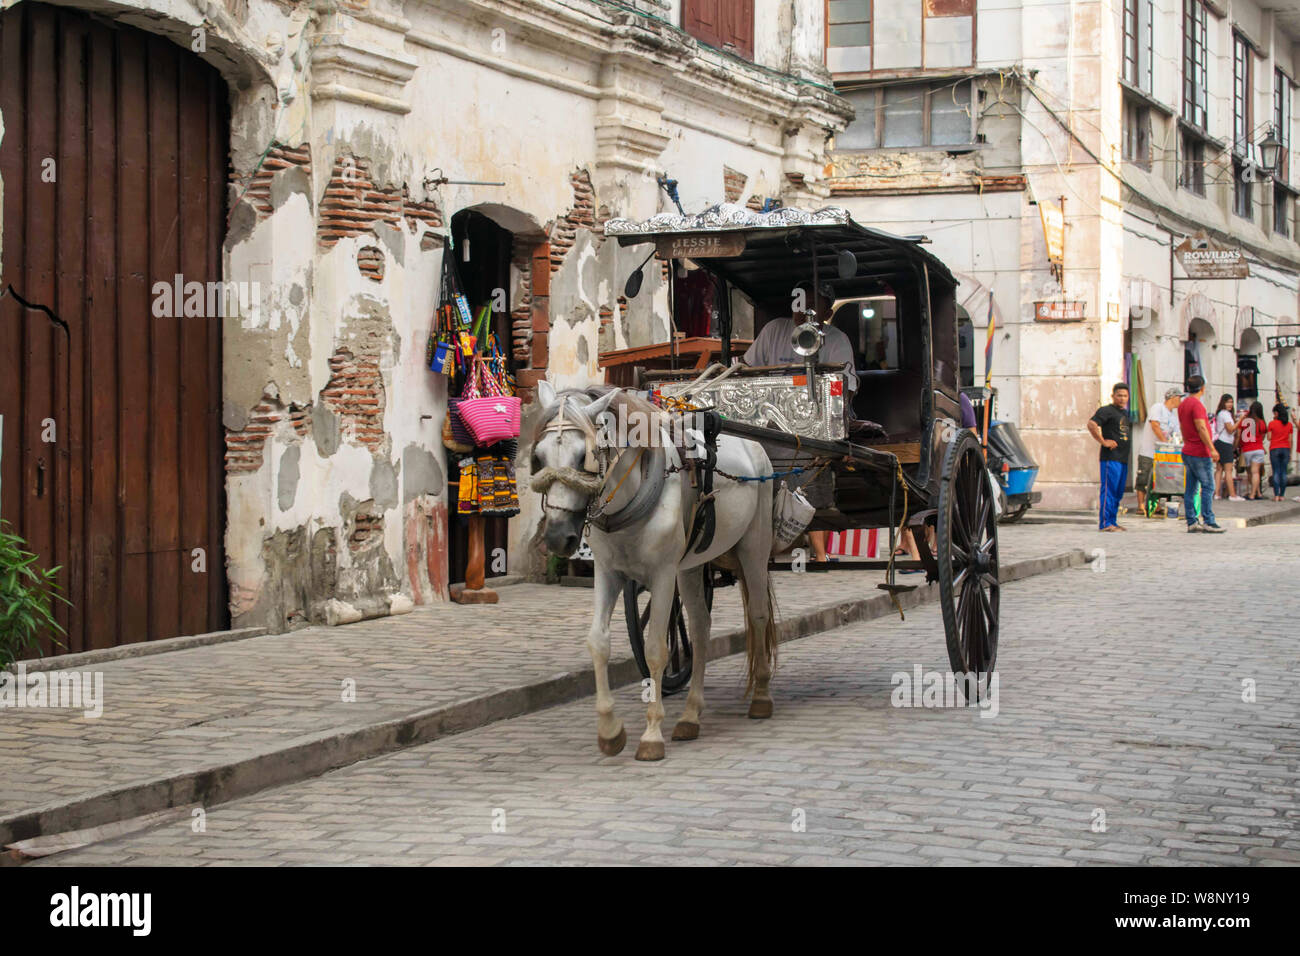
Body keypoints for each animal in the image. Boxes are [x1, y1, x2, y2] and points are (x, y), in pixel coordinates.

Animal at [530, 382, 774, 764]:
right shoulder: (608, 573)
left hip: (754, 548)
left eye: (584, 456)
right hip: (690, 567)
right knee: (700, 629)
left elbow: (656, 649)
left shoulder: (662, 576)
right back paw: (690, 715)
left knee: (759, 613)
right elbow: (598, 642)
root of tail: (754, 444)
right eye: (539, 458)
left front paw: (651, 735)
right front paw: (610, 731)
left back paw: (761, 696)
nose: (556, 537)